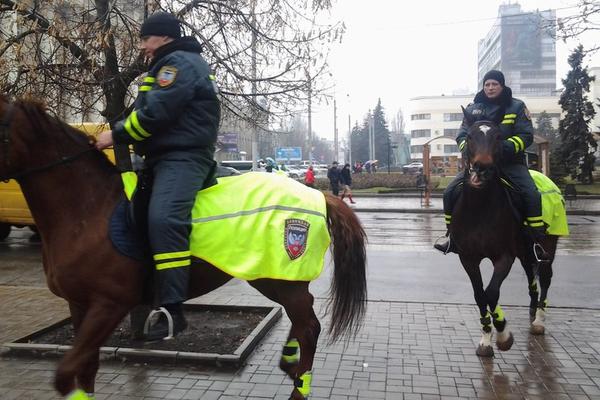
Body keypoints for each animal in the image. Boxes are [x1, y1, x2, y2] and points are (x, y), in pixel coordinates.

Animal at [0, 97, 368, 400]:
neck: (90, 210)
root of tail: (319, 194)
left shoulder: (109, 305)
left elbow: (65, 374)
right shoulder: (79, 306)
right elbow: (84, 369)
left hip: (278, 278)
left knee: (309, 326)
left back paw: (298, 384)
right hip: (273, 277)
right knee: (304, 316)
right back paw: (289, 362)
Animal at [452, 118, 560, 356]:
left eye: (498, 136)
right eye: (470, 136)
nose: (482, 168)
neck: (480, 208)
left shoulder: (504, 257)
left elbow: (491, 293)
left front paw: (502, 334)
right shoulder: (468, 259)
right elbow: (480, 295)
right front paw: (485, 339)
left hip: (548, 246)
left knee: (545, 278)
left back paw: (539, 320)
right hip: (525, 251)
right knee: (531, 276)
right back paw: (532, 309)